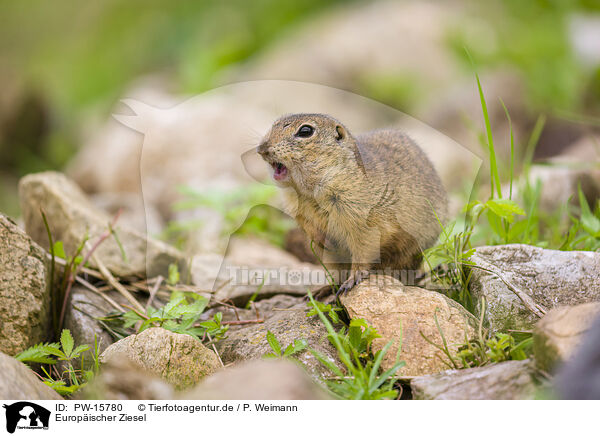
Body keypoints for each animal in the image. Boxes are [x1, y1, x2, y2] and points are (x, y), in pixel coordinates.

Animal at [255, 114, 448, 294]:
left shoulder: (364, 221)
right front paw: (324, 241)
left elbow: (364, 250)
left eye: (305, 131)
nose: (261, 148)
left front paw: (353, 280)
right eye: (274, 124)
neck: (308, 193)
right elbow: (310, 228)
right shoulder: (299, 212)